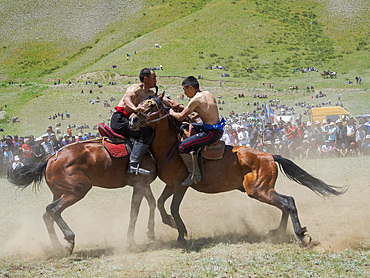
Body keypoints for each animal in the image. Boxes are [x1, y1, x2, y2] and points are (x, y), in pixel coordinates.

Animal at [6, 137, 158, 254]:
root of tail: (50, 158)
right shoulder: (140, 184)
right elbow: (135, 211)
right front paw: (134, 242)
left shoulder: (143, 184)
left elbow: (152, 202)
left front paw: (151, 231)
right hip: (77, 190)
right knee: (53, 209)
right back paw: (69, 240)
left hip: (60, 193)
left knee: (47, 215)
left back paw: (57, 247)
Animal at [129, 95, 346, 245]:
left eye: (152, 105)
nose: (132, 119)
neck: (172, 148)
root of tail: (269, 156)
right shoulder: (171, 185)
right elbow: (160, 203)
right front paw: (170, 223)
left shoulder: (181, 185)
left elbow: (174, 207)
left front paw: (181, 232)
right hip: (262, 190)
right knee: (286, 203)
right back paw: (278, 232)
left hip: (258, 190)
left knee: (288, 202)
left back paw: (301, 235)